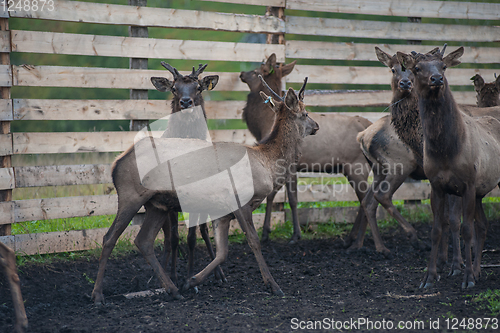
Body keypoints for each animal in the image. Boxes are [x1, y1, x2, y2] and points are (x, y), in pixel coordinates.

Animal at [92, 76, 318, 300]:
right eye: (305, 113)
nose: (316, 125)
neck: (267, 164)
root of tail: (116, 163)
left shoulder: (223, 213)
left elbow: (222, 253)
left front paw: (191, 281)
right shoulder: (239, 199)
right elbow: (253, 241)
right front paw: (273, 285)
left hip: (157, 205)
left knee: (144, 241)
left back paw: (173, 290)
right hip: (130, 195)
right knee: (109, 238)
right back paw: (98, 295)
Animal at [240, 53, 374, 244]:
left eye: (256, 70)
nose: (242, 73)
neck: (262, 126)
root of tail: (368, 124)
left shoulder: (290, 166)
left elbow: (290, 198)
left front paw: (291, 234)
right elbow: (276, 195)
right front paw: (269, 231)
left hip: (357, 166)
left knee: (366, 199)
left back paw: (356, 238)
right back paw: (352, 237)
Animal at [398, 46, 500, 288]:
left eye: (443, 66)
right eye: (417, 68)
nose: (437, 78)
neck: (445, 150)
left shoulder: (468, 184)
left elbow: (466, 229)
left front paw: (467, 277)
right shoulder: (437, 185)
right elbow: (436, 229)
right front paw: (429, 276)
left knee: (477, 226)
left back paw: (475, 272)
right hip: (481, 191)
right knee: (483, 225)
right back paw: (479, 270)